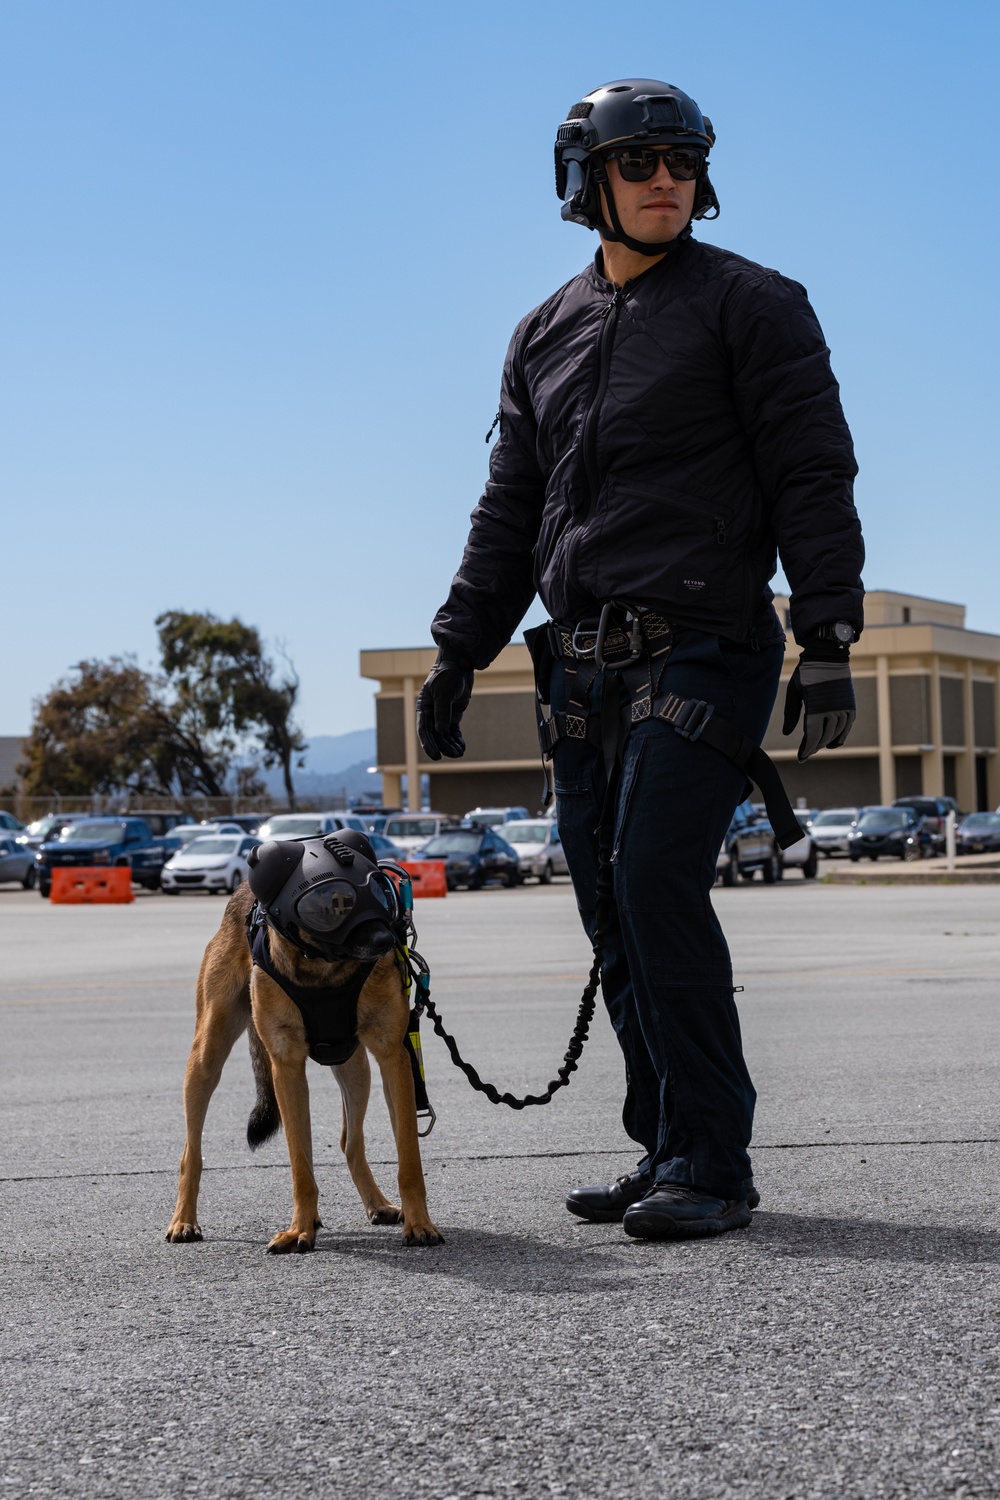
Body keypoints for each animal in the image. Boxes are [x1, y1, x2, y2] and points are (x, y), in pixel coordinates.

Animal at [167, 858, 440, 1254]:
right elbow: (300, 1164)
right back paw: (184, 1220)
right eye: (332, 904)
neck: (324, 968)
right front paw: (300, 1229)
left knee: (349, 1142)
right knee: (192, 1153)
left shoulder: (393, 1058)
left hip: (355, 1069)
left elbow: (408, 1160)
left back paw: (376, 1204)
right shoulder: (287, 1067)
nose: (387, 940)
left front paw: (419, 1224)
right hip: (206, 1058)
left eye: (377, 891)